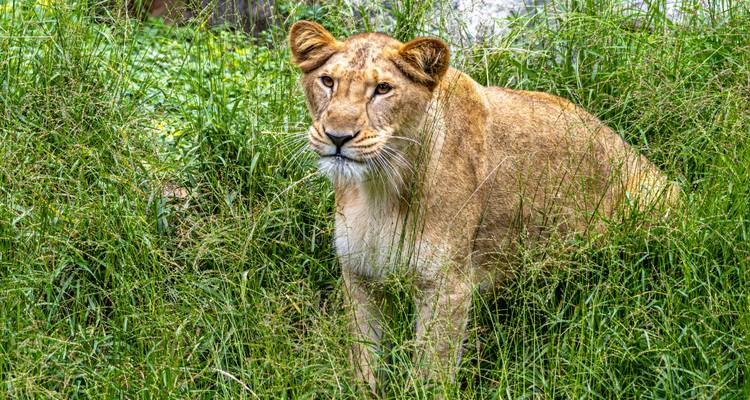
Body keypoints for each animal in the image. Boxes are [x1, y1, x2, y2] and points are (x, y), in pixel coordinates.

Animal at [288, 20, 679, 392]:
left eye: (383, 89)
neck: (379, 190)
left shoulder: (447, 286)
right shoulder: (359, 277)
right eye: (327, 81)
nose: (338, 137)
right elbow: (364, 359)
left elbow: (432, 372)